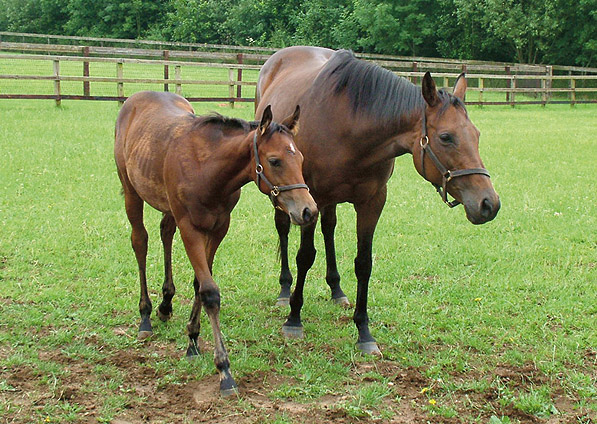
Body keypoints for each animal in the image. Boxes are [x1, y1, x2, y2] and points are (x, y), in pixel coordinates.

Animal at [113, 91, 316, 396]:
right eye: (275, 160)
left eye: (301, 158)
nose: (308, 211)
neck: (207, 168)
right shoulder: (191, 228)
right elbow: (210, 291)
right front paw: (224, 370)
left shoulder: (220, 226)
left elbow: (200, 283)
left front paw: (193, 341)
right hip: (130, 191)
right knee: (141, 241)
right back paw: (146, 315)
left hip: (167, 206)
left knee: (165, 232)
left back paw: (165, 305)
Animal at [255, 46, 498, 354]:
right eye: (446, 137)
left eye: (476, 135)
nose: (489, 203)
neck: (349, 127)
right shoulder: (308, 197)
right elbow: (305, 256)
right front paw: (294, 319)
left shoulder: (372, 201)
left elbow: (364, 263)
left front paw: (364, 332)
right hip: (283, 195)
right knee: (284, 229)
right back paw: (285, 290)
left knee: (329, 228)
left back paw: (336, 289)